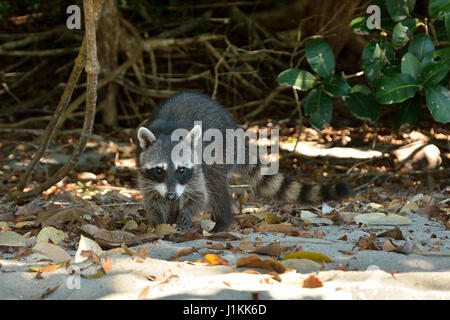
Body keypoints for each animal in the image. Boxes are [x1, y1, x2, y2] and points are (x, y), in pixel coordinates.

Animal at [135, 90, 350, 232]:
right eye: (159, 170)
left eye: (181, 169)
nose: (171, 195)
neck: (167, 133)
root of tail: (237, 132)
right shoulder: (146, 173)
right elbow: (153, 199)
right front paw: (161, 224)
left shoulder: (195, 169)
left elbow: (200, 195)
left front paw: (186, 213)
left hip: (221, 151)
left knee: (215, 183)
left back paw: (222, 222)